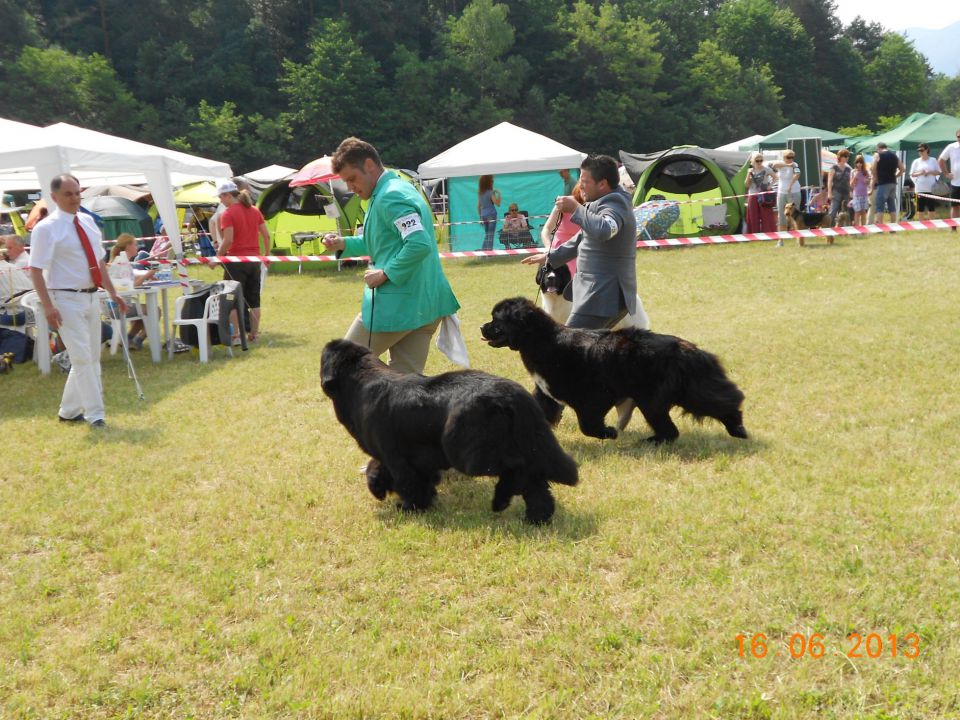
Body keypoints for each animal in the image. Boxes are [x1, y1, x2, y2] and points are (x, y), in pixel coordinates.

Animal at [320, 338, 576, 524]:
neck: (359, 382)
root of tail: (511, 394)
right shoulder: (400, 455)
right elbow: (386, 469)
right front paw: (380, 487)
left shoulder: (395, 456)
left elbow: (407, 481)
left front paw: (408, 507)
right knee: (535, 479)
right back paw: (537, 517)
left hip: (466, 452)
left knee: (518, 468)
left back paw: (501, 501)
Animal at [484, 298, 748, 444]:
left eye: (497, 319)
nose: (481, 327)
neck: (542, 341)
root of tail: (686, 348)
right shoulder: (547, 394)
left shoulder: (592, 396)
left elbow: (587, 425)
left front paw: (608, 433)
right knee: (675, 428)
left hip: (654, 398)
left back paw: (737, 429)